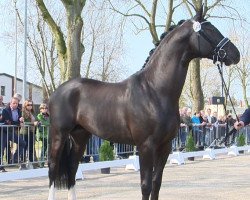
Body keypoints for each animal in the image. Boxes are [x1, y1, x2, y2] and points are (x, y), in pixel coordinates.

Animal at [47, 9, 240, 200]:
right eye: (210, 30)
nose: (235, 54)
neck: (155, 90)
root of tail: (58, 91)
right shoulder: (146, 146)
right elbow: (146, 185)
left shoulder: (164, 146)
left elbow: (156, 183)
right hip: (59, 134)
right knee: (53, 169)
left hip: (80, 135)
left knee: (72, 168)